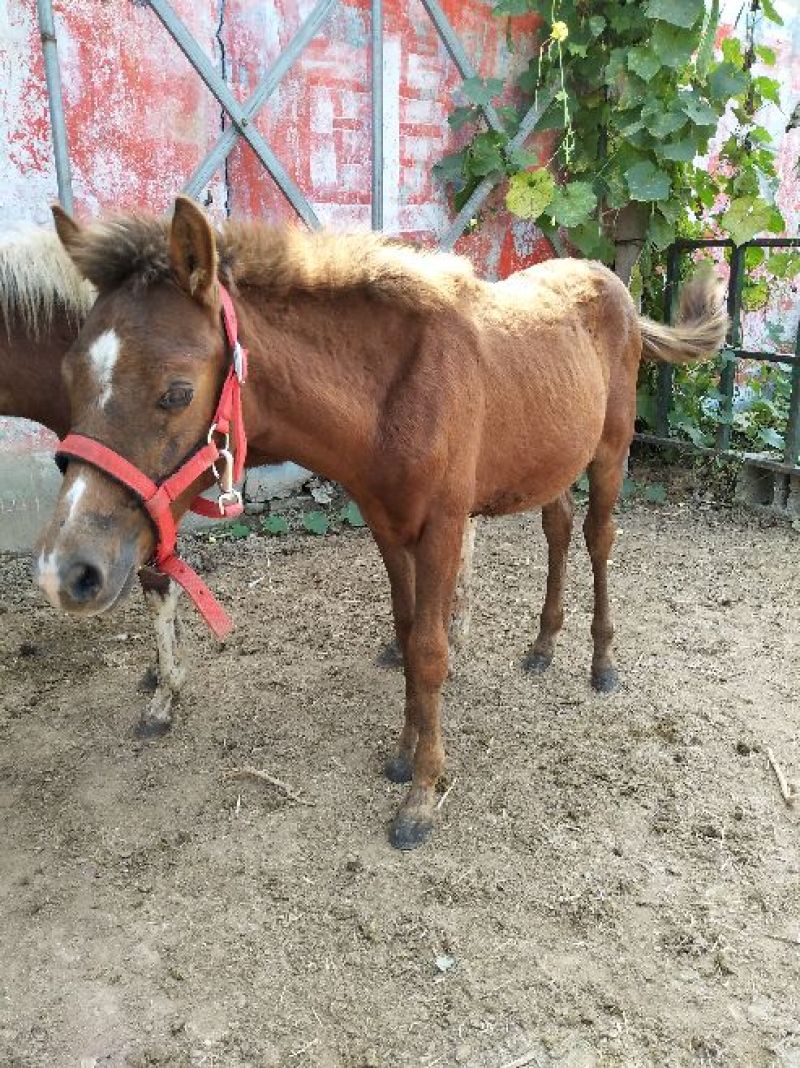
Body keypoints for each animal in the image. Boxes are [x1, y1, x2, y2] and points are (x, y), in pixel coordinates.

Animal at [34, 196, 727, 848]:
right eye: (66, 375)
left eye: (176, 392)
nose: (66, 570)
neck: (396, 394)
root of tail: (616, 288)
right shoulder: (387, 526)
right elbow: (406, 629)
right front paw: (402, 757)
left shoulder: (444, 527)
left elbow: (430, 651)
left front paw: (421, 798)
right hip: (548, 463)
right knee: (557, 531)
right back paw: (543, 646)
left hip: (610, 455)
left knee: (597, 539)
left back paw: (602, 663)